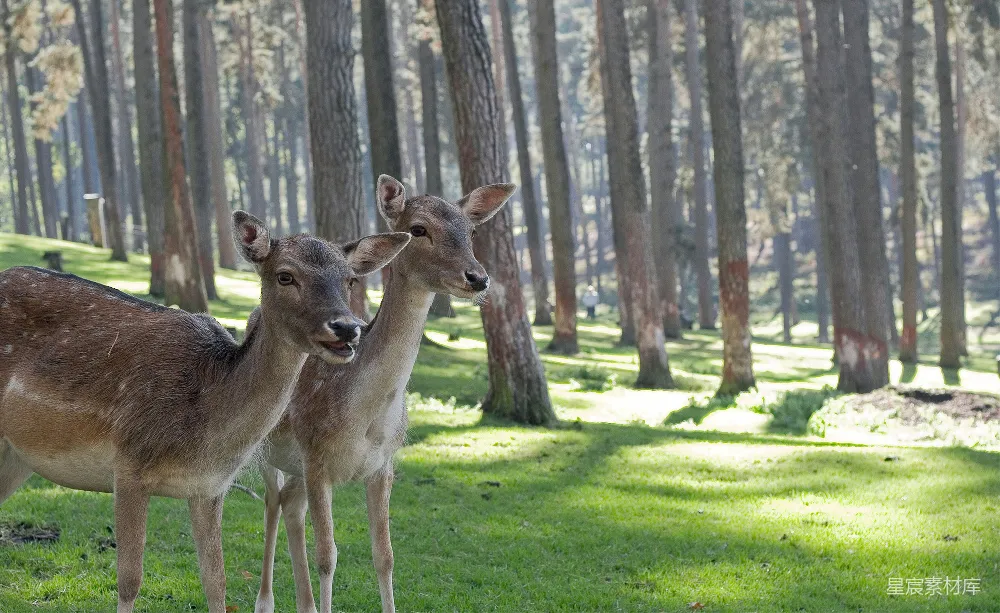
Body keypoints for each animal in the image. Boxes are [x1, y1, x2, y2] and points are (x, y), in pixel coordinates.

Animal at [0, 211, 411, 613]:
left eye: (350, 280)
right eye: (285, 275)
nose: (346, 328)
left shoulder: (209, 487)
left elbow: (217, 585)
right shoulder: (128, 464)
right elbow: (130, 581)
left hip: (16, 456)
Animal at [253, 175, 514, 613]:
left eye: (472, 231)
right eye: (418, 230)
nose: (478, 278)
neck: (365, 417)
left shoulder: (383, 464)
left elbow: (385, 556)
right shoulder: (316, 457)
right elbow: (328, 556)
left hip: (296, 468)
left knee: (290, 505)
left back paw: (304, 604)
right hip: (265, 447)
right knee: (273, 502)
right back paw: (265, 601)